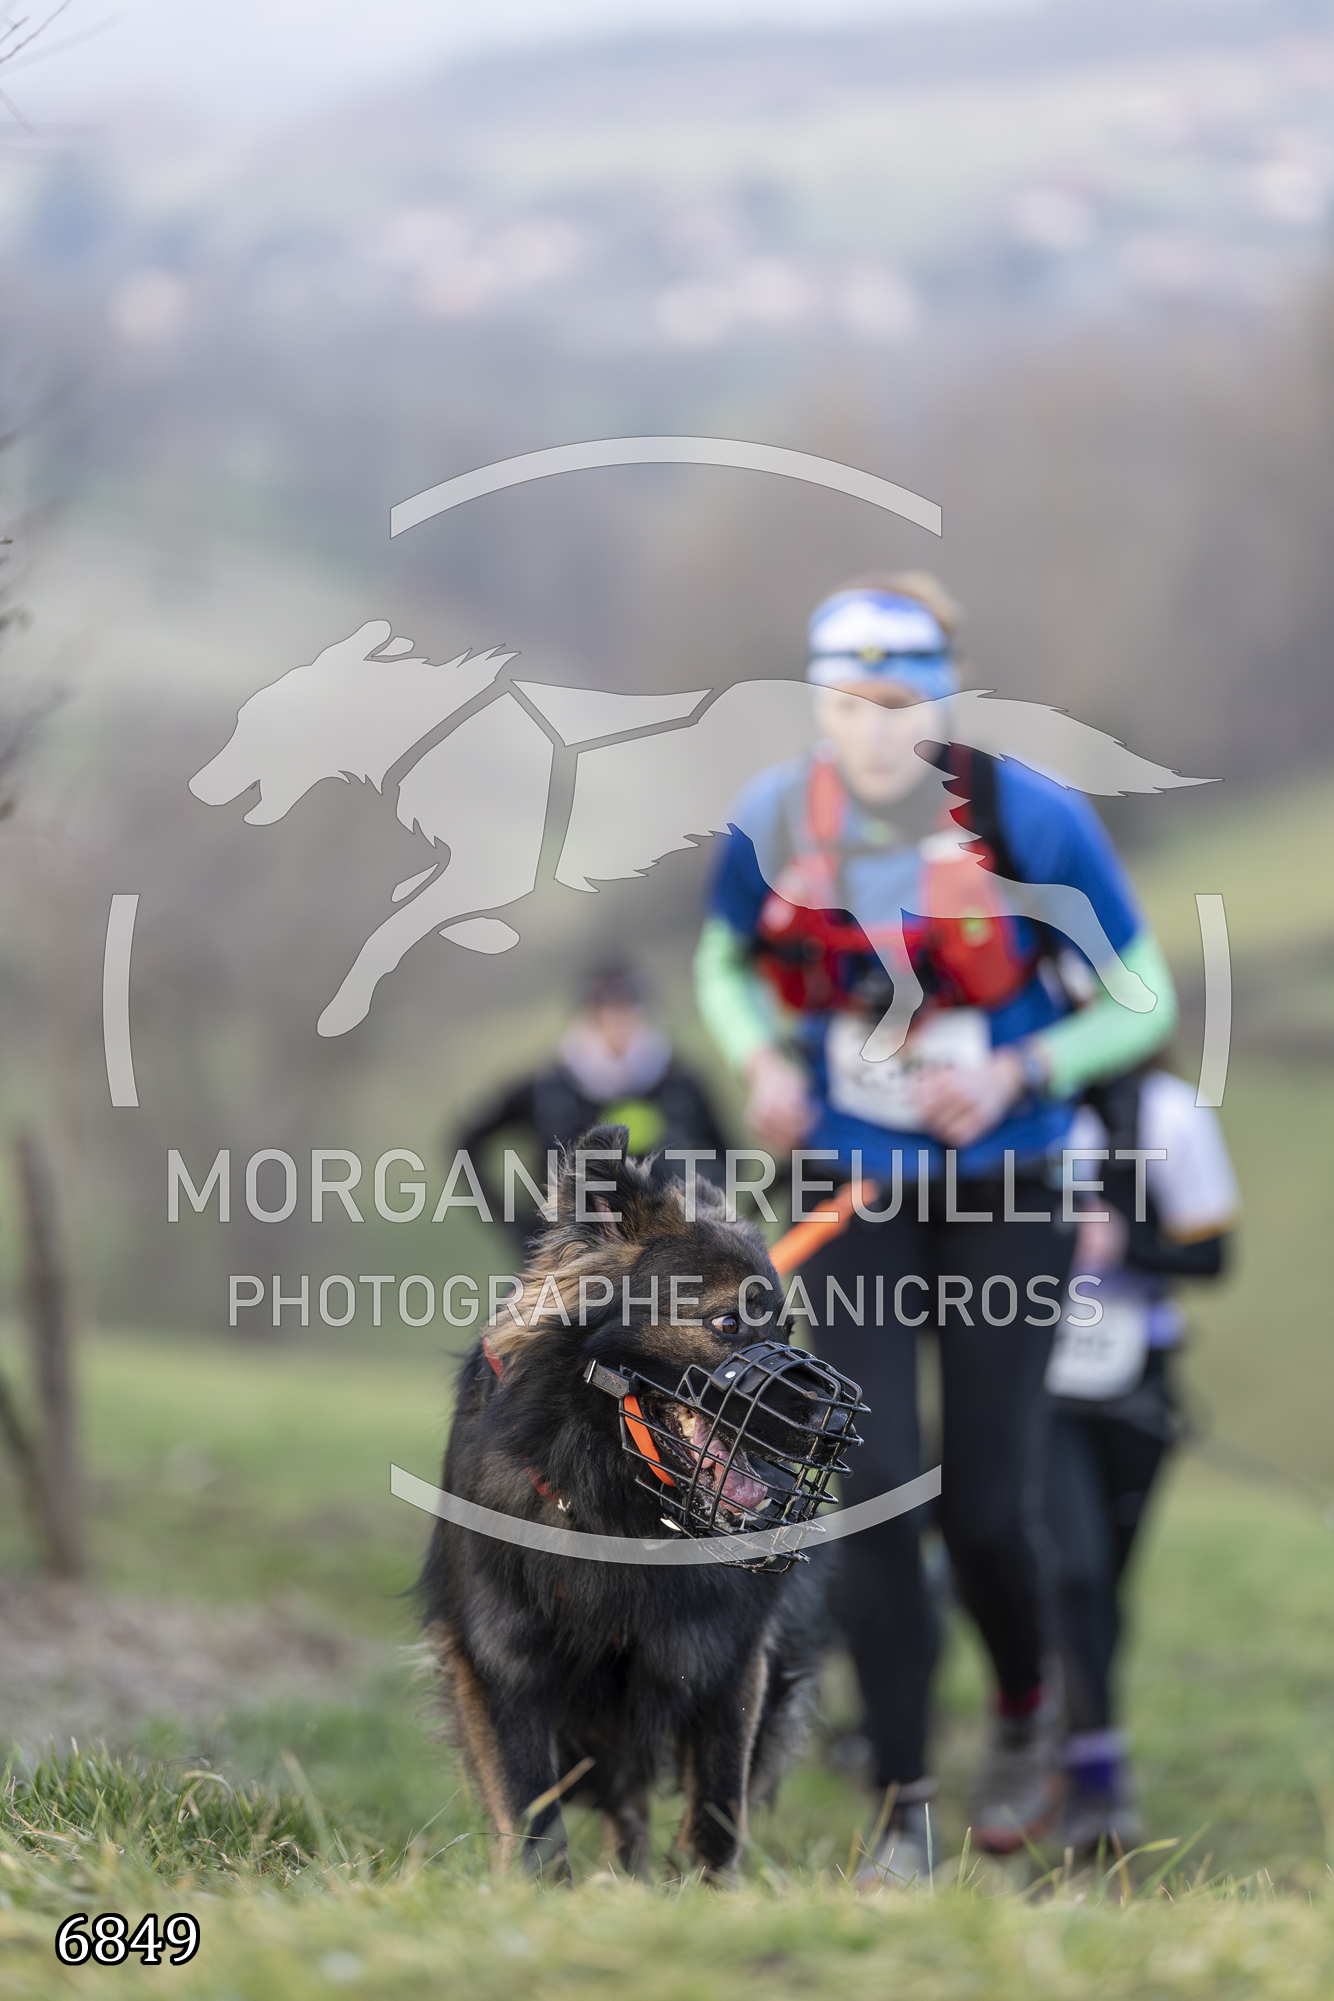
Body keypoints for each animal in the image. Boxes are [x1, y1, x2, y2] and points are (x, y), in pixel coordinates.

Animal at [419, 1125, 864, 1882]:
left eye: (785, 1333)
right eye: (726, 1322)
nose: (836, 1428)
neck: (614, 1507)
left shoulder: (725, 1660)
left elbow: (718, 1807)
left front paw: (712, 1893)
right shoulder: (502, 1658)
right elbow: (529, 1806)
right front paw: (537, 1890)